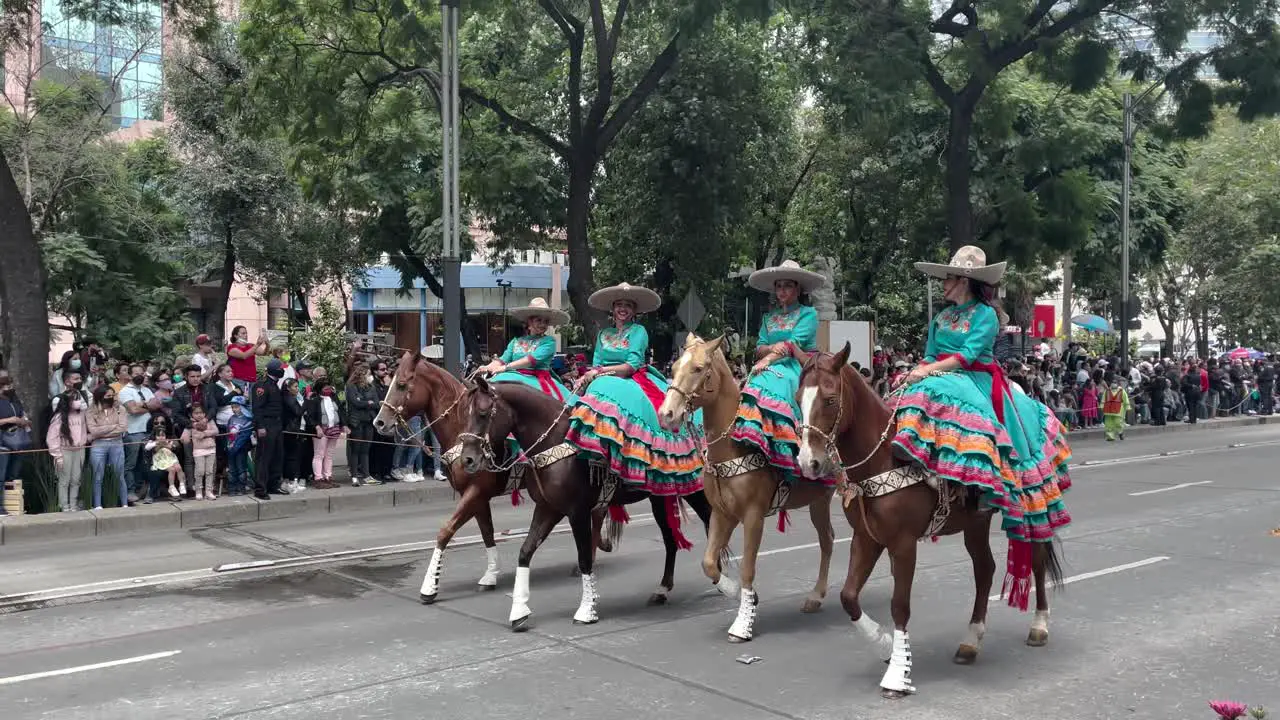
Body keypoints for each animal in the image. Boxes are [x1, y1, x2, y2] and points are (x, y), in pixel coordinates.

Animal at [458, 376, 721, 627]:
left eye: (483, 413)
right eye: (465, 414)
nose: (467, 460)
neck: (556, 442)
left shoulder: (578, 512)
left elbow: (584, 559)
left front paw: (586, 611)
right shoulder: (548, 509)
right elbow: (525, 552)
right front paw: (519, 612)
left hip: (693, 490)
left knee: (710, 521)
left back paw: (719, 579)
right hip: (659, 498)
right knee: (670, 540)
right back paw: (663, 590)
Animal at [660, 333, 839, 640]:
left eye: (698, 369)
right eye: (672, 368)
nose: (666, 414)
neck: (732, 446)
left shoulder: (753, 515)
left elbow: (747, 567)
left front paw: (742, 624)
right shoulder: (723, 513)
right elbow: (709, 562)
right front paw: (735, 592)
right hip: (819, 501)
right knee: (828, 539)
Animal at [798, 345, 1059, 696]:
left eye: (829, 400)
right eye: (797, 397)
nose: (808, 462)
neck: (883, 458)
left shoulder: (904, 543)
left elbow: (899, 605)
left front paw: (897, 675)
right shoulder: (866, 537)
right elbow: (848, 596)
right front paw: (885, 644)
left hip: (1033, 505)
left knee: (1037, 559)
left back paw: (1039, 625)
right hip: (975, 523)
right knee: (985, 570)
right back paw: (970, 642)